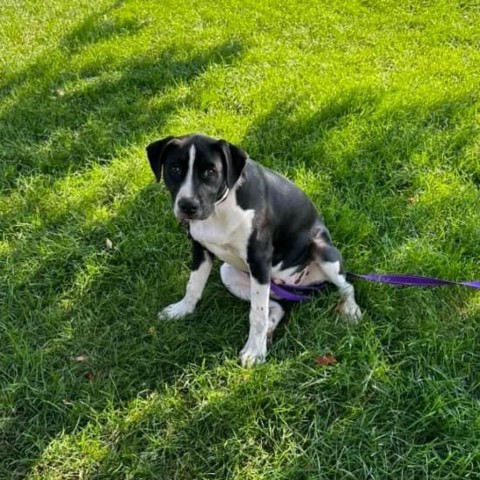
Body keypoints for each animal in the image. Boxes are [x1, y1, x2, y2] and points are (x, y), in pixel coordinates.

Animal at [146, 133, 360, 366]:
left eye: (210, 172)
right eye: (174, 169)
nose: (188, 206)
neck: (221, 207)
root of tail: (294, 286)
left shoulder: (259, 259)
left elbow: (256, 314)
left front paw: (255, 352)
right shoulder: (200, 248)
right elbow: (193, 285)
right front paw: (182, 309)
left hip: (323, 252)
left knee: (346, 285)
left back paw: (351, 310)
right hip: (231, 274)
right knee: (278, 307)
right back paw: (270, 329)